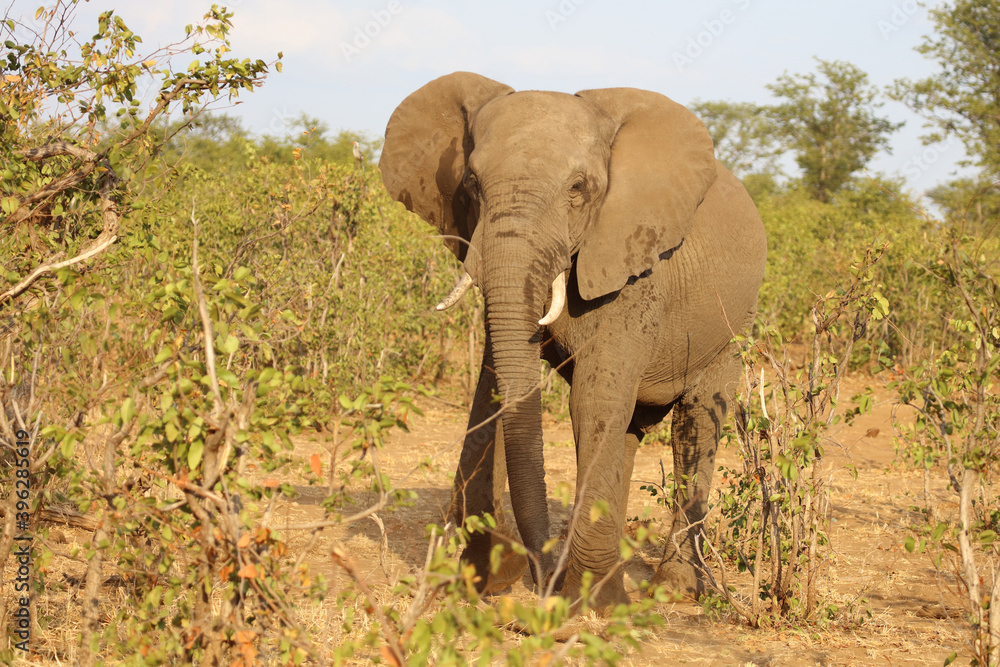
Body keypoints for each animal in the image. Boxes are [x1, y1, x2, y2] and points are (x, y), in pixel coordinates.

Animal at [379, 72, 767, 612]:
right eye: (471, 183)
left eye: (579, 189)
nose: (538, 575)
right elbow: (496, 390)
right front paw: (490, 575)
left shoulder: (635, 263)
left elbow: (590, 400)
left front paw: (592, 600)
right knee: (629, 430)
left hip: (733, 325)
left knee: (696, 422)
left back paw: (674, 589)